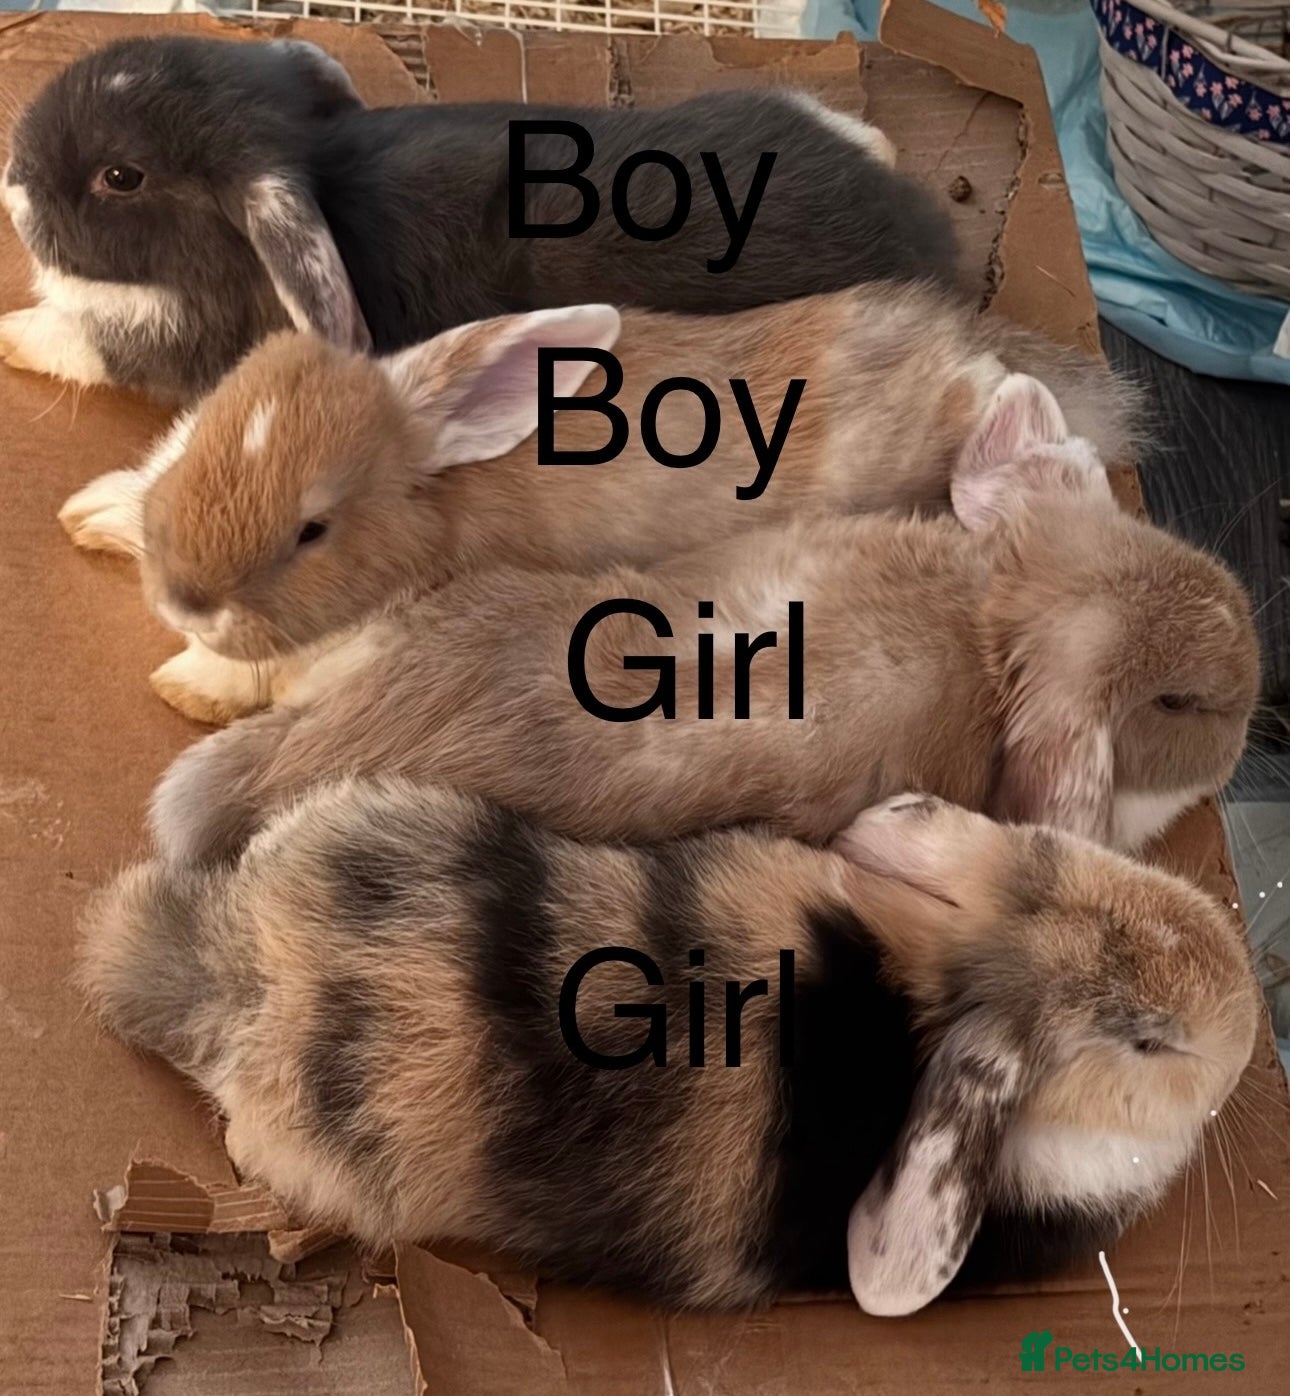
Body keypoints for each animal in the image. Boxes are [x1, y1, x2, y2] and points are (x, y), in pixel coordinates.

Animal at [0, 34, 958, 402]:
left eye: (120, 175)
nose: (9, 185)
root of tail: (924, 231)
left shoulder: (156, 347)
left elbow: (77, 340)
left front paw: (11, 332)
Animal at [54, 282, 1137, 721]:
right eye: (209, 424)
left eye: (312, 530)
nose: (184, 596)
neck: (437, 489)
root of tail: (962, 353)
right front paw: (91, 514)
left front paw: (183, 684)